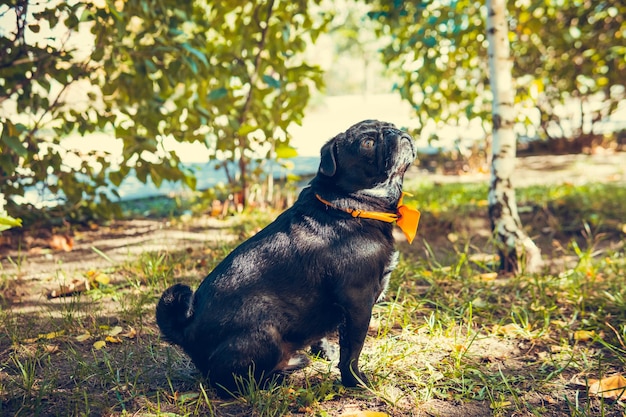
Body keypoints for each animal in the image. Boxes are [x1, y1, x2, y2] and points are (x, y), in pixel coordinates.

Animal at [155, 118, 416, 394]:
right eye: (368, 143)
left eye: (391, 125)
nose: (395, 131)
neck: (351, 205)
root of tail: (187, 331)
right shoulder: (358, 303)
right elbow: (352, 352)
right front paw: (355, 382)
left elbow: (321, 335)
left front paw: (326, 352)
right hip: (267, 332)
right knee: (229, 382)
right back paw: (277, 376)